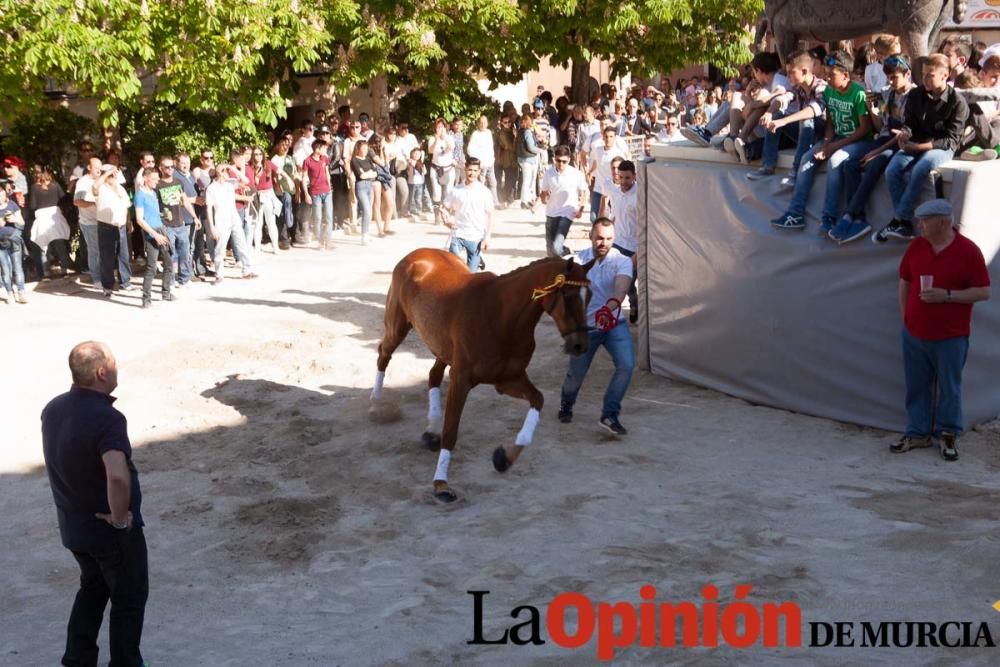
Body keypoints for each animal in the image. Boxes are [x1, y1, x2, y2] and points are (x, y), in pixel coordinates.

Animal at [374, 249, 592, 500]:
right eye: (568, 295)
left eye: (590, 295)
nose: (580, 345)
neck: (501, 317)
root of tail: (416, 254)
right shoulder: (461, 380)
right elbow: (451, 432)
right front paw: (441, 485)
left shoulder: (507, 380)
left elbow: (538, 399)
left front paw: (505, 458)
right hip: (397, 327)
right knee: (383, 355)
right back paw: (375, 403)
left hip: (443, 349)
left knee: (433, 376)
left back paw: (430, 430)